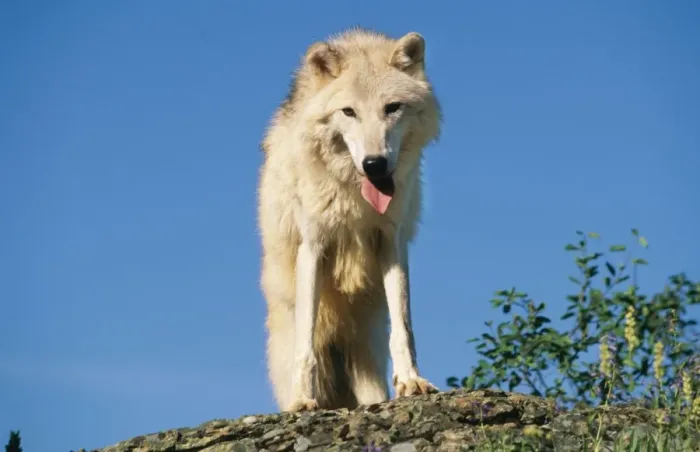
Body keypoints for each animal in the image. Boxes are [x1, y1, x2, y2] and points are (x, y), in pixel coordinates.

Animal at [257, 27, 442, 412]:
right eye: (349, 112)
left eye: (392, 108)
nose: (374, 164)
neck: (354, 195)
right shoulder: (313, 248)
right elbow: (306, 345)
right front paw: (304, 399)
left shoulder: (391, 242)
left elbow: (403, 326)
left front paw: (412, 381)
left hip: (366, 351)